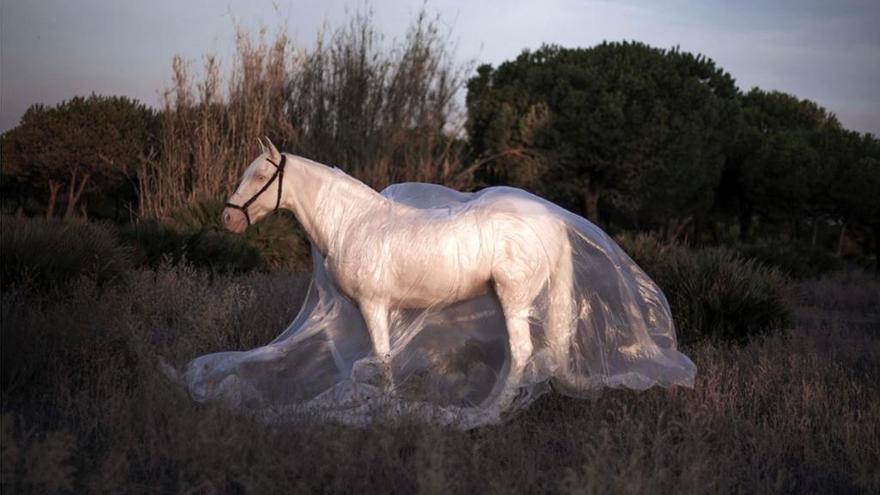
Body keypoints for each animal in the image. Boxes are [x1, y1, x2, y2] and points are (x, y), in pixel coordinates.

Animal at [223, 138, 576, 408]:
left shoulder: (373, 304)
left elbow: (383, 356)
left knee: (522, 352)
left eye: (260, 177)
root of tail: (553, 221)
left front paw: (388, 405)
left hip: (515, 299)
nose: (228, 218)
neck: (351, 222)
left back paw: (495, 408)